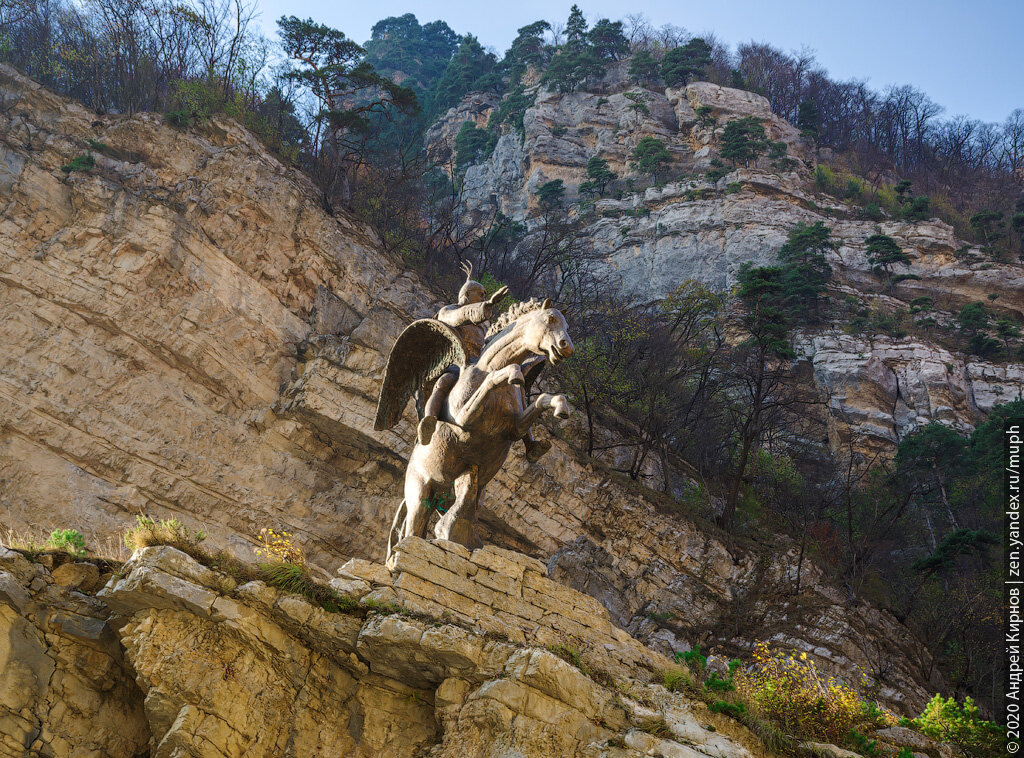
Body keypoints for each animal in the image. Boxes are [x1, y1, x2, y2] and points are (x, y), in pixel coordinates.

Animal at [372, 297, 573, 557]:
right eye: (550, 319)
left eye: (567, 325)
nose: (566, 347)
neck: (490, 365)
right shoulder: (464, 419)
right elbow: (491, 382)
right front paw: (513, 374)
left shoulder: (515, 428)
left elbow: (540, 402)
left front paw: (561, 407)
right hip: (420, 495)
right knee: (411, 531)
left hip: (459, 493)